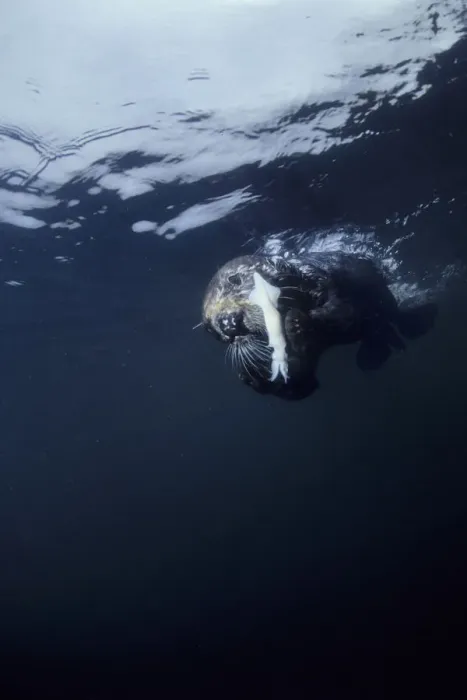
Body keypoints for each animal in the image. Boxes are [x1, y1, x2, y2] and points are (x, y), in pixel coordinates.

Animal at [201, 250, 437, 400]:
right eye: (209, 328)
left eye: (235, 280)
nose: (228, 323)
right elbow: (302, 385)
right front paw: (252, 376)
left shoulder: (322, 281)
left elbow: (343, 312)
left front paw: (295, 321)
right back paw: (372, 357)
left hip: (382, 293)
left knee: (393, 316)